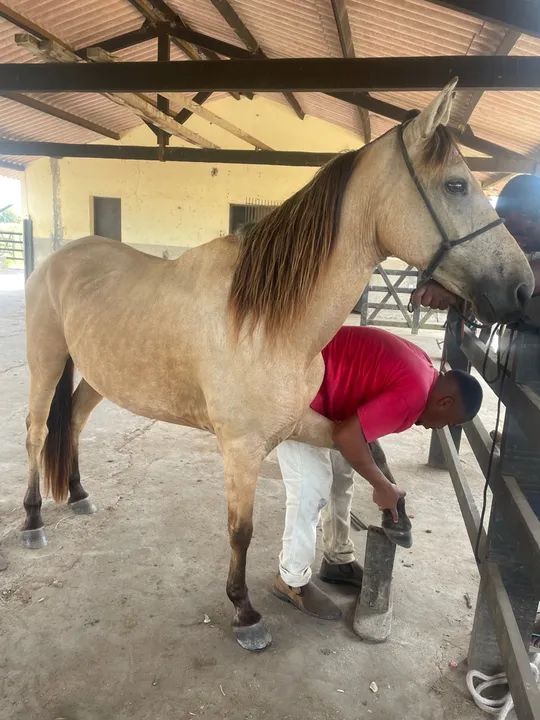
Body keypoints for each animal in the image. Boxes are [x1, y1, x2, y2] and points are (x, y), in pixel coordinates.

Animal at [22, 80, 533, 651]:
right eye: (456, 185)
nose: (521, 288)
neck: (265, 318)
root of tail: (59, 258)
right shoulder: (241, 448)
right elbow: (241, 530)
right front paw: (244, 611)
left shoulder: (299, 422)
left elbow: (353, 449)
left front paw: (391, 514)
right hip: (46, 361)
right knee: (38, 432)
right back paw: (33, 521)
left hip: (97, 375)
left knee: (74, 421)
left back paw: (79, 494)